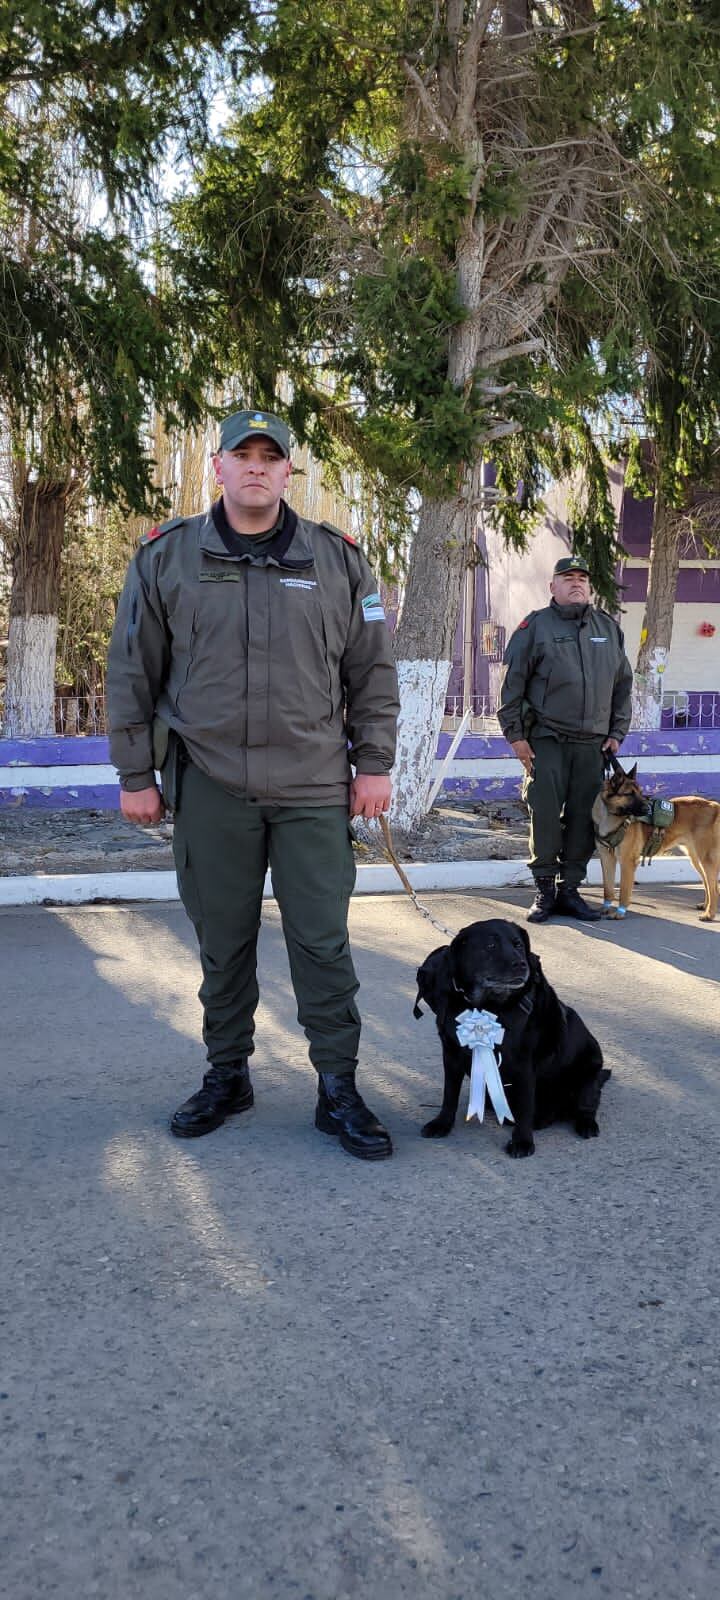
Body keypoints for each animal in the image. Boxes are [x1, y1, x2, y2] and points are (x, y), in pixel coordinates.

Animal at [412, 921, 611, 1158]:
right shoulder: (451, 1055)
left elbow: (525, 1107)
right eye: (490, 945)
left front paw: (522, 1142)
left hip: (587, 1073)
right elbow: (449, 1095)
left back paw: (585, 1124)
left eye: (518, 945)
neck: (487, 1006)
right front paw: (442, 1123)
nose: (522, 964)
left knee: (587, 1104)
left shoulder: (524, 1065)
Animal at [592, 761, 720, 928]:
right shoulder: (607, 859)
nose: (647, 809)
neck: (610, 817)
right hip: (696, 859)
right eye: (629, 794)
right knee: (708, 884)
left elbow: (624, 891)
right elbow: (608, 888)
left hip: (706, 859)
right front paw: (605, 908)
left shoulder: (627, 863)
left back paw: (709, 914)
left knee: (714, 887)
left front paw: (620, 913)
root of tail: (713, 804)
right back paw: (705, 906)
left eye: (640, 792)